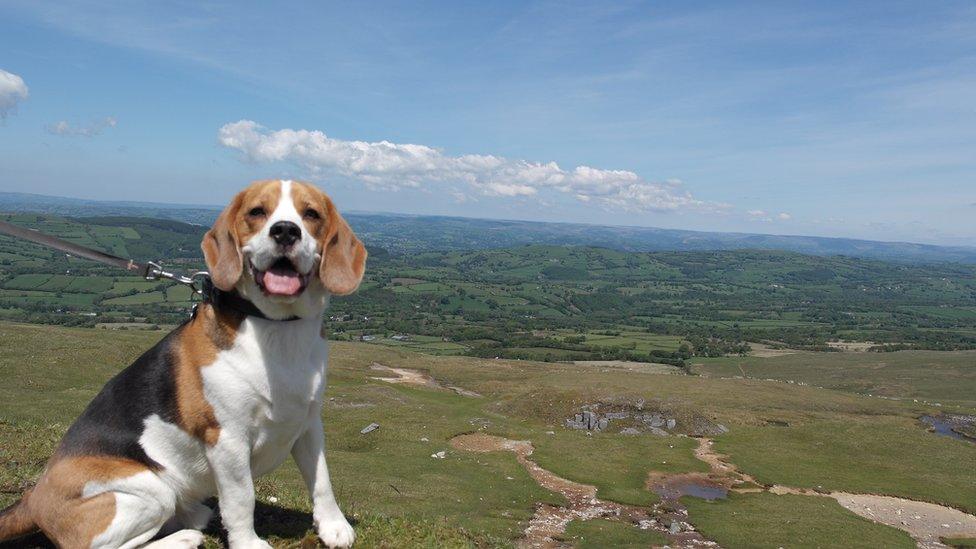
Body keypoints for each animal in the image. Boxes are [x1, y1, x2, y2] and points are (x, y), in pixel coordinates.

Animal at [0, 180, 366, 548]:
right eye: (257, 212)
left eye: (311, 214)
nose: (286, 231)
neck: (277, 327)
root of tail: (33, 498)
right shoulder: (227, 439)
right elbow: (241, 498)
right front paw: (247, 543)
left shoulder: (308, 422)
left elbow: (322, 480)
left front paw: (333, 526)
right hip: (150, 488)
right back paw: (184, 537)